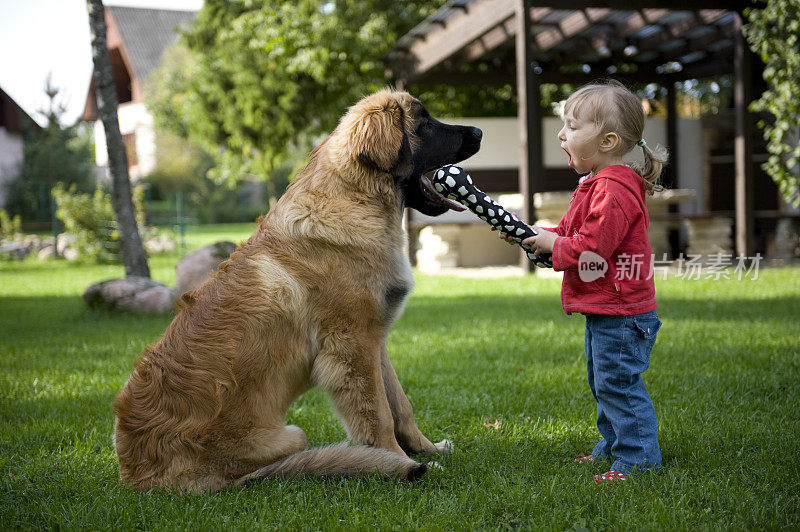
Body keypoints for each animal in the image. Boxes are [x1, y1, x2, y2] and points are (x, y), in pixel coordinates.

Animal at [114, 89, 482, 492]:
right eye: (425, 124)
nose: (480, 132)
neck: (356, 199)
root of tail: (139, 473)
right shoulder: (353, 346)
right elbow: (379, 414)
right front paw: (398, 460)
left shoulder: (375, 340)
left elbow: (401, 405)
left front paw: (426, 449)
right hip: (292, 434)